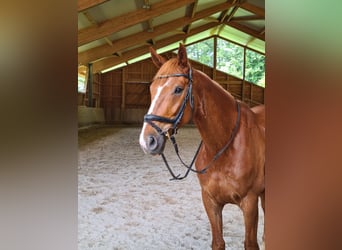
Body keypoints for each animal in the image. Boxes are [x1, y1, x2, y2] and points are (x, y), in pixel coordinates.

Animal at [139, 44, 264, 249]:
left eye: (178, 89)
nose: (147, 141)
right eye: (151, 89)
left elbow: (250, 243)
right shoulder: (210, 201)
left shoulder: (250, 203)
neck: (223, 147)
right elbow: (218, 242)